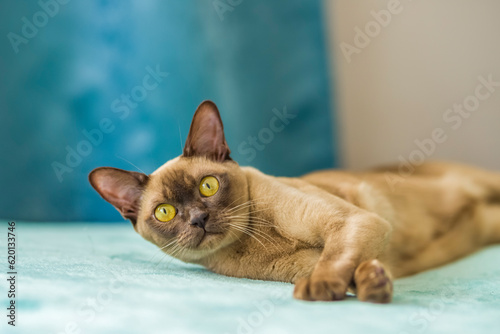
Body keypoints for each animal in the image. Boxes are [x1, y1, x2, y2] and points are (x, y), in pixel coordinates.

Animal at [88, 100, 500, 302]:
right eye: (165, 212)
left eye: (207, 187)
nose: (198, 219)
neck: (257, 240)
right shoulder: (309, 262)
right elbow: (350, 270)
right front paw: (373, 286)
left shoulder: (351, 224)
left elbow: (336, 261)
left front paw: (322, 291)